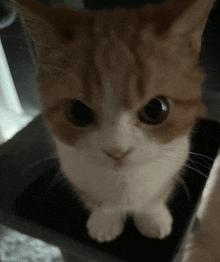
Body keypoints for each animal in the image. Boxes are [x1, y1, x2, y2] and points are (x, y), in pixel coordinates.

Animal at [13, 0, 215, 243]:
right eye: (78, 111)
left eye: (155, 109)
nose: (117, 151)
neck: (124, 183)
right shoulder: (71, 167)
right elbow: (98, 201)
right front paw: (105, 221)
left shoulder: (177, 159)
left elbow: (155, 197)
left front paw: (153, 217)